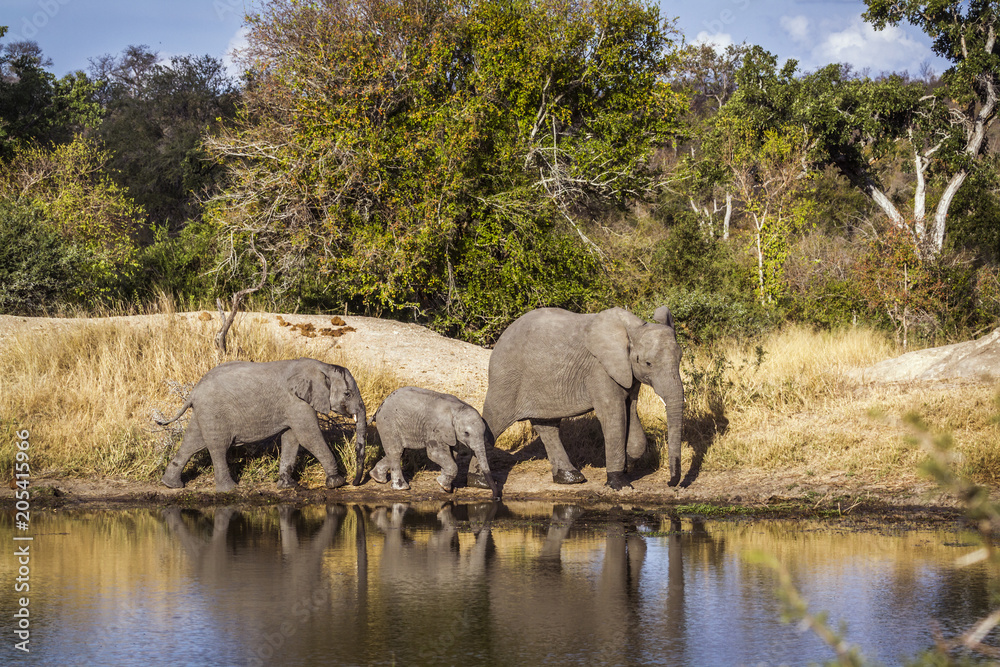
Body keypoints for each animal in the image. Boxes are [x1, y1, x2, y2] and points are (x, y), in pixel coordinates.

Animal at [156, 358, 367, 492]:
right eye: (347, 393)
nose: (355, 483)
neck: (323, 366)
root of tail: (193, 391)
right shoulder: (296, 401)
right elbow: (308, 436)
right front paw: (336, 483)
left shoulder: (293, 405)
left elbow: (292, 438)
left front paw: (288, 486)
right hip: (214, 411)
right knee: (218, 447)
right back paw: (229, 490)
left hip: (204, 412)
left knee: (192, 442)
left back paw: (170, 485)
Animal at [369, 386, 501, 500]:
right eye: (466, 433)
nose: (495, 498)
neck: (457, 408)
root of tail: (380, 406)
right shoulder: (435, 428)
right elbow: (435, 454)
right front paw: (443, 485)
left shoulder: (448, 432)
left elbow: (450, 455)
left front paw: (446, 489)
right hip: (388, 422)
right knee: (396, 451)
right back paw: (402, 488)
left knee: (399, 451)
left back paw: (377, 478)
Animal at [474, 306, 683, 491]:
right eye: (648, 363)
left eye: (680, 359)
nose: (671, 484)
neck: (633, 329)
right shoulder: (599, 369)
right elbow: (613, 415)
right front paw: (619, 483)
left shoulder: (627, 373)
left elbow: (631, 410)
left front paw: (628, 464)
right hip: (507, 378)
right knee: (494, 421)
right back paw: (480, 482)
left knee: (547, 426)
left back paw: (571, 478)